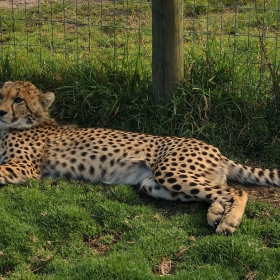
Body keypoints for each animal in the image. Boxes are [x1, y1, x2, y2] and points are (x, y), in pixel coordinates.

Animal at [0, 81, 278, 234]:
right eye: (1, 95)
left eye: (19, 99)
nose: (0, 111)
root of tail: (217, 150)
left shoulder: (25, 167)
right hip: (151, 184)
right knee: (219, 191)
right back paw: (216, 212)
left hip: (169, 171)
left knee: (238, 191)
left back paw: (228, 220)